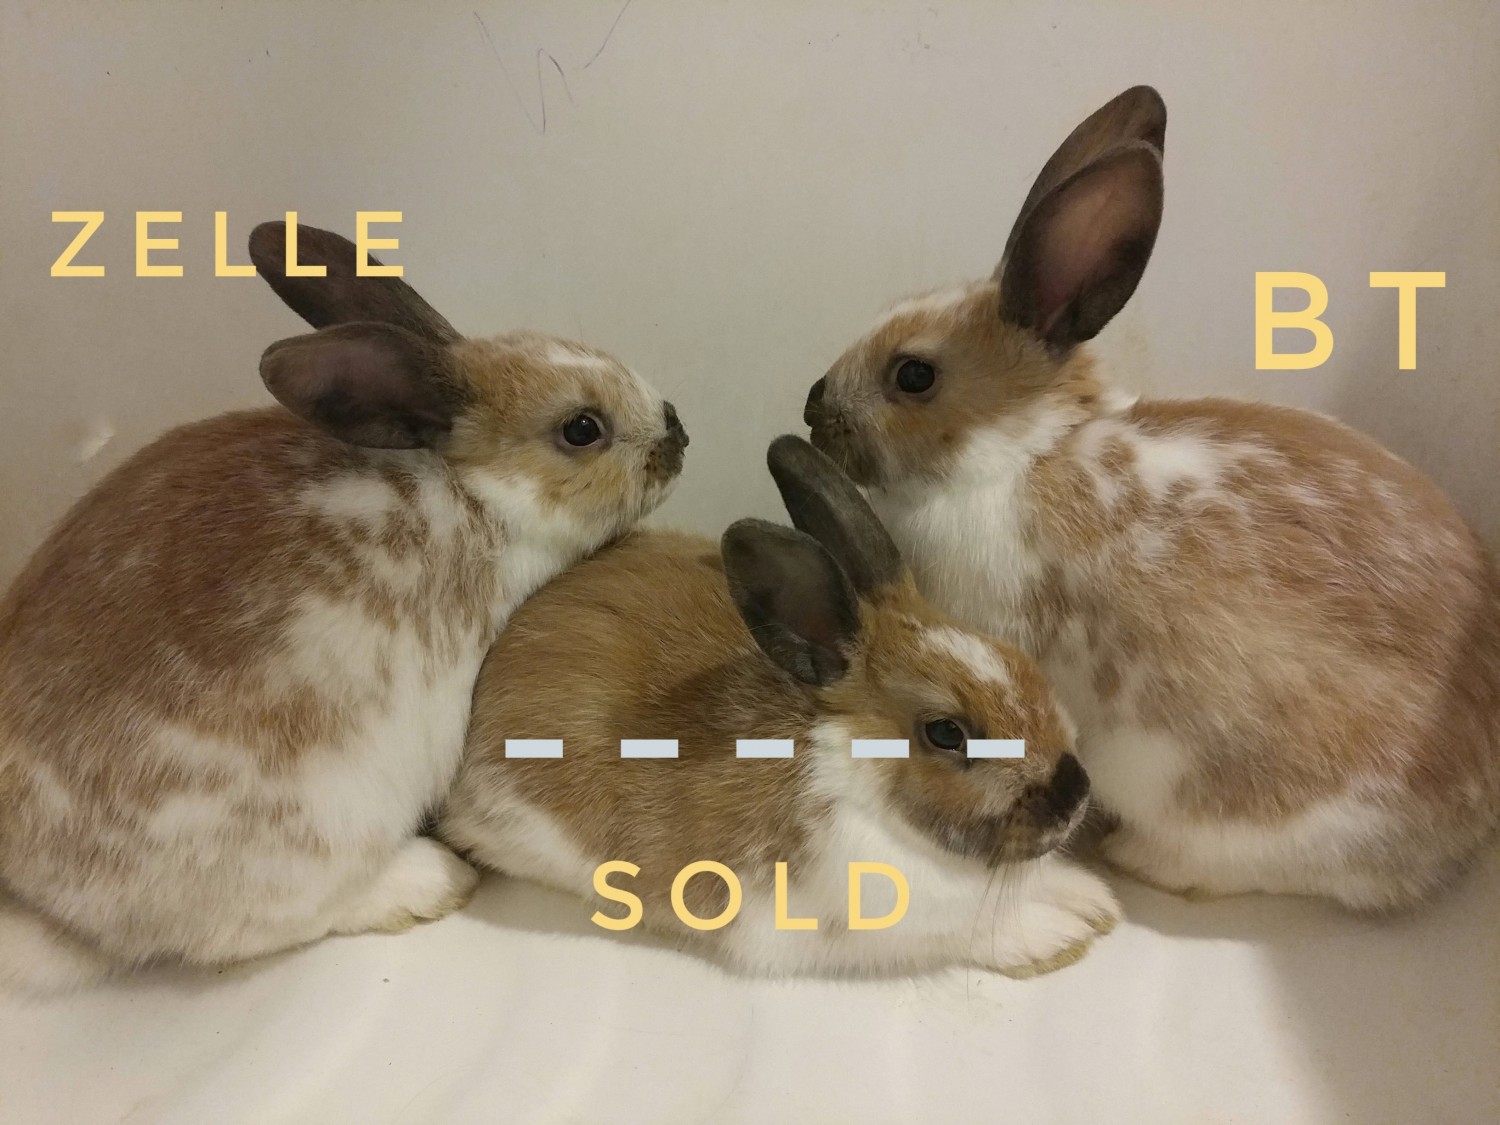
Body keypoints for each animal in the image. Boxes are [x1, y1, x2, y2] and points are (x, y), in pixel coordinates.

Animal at [0, 220, 688, 991]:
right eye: (582, 428)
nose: (679, 435)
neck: (475, 491)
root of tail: (56, 914)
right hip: (324, 825)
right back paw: (430, 881)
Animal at [439, 435, 1119, 979]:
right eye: (947, 733)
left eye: (1019, 660)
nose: (1075, 793)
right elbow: (974, 934)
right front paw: (1057, 936)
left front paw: (1092, 900)